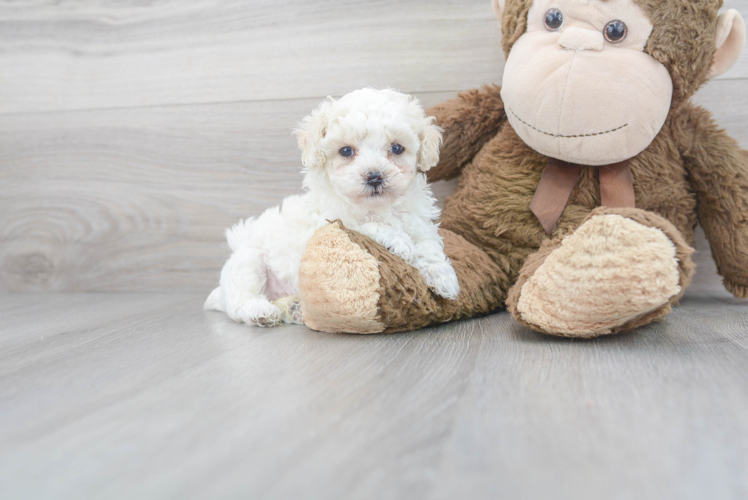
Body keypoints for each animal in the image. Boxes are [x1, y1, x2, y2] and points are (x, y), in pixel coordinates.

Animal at [206, 88, 462, 326]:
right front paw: (399, 241)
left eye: (397, 148)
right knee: (240, 299)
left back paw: (295, 309)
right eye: (346, 151)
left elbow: (429, 246)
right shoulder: (327, 222)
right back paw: (260, 311)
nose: (374, 177)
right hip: (249, 262)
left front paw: (444, 278)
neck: (378, 206)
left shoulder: (419, 223)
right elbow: (363, 226)